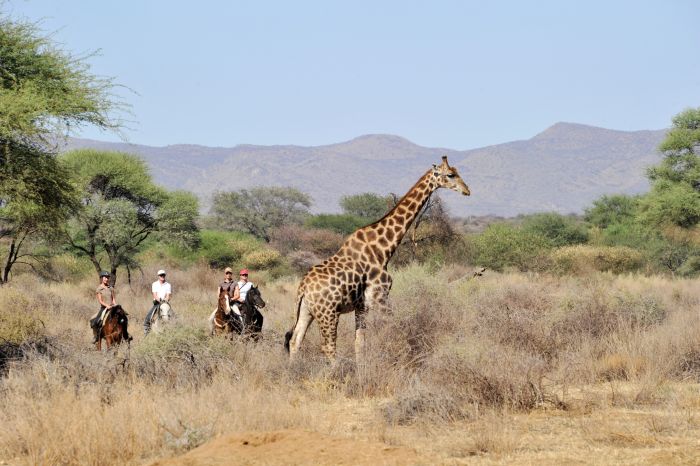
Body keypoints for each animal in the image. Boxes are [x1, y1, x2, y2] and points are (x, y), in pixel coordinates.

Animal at [284, 156, 470, 360]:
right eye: (450, 175)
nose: (467, 190)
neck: (383, 249)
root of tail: (303, 288)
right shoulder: (379, 298)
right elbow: (397, 329)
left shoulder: (362, 305)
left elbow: (360, 343)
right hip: (329, 313)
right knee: (328, 347)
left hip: (306, 311)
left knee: (295, 341)